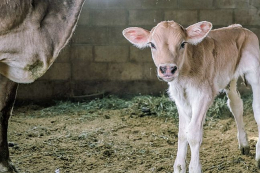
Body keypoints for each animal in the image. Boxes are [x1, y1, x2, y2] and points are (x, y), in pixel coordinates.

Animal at [123, 21, 260, 172]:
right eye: (152, 44)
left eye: (183, 43)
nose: (168, 69)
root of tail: (238, 27)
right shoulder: (179, 98)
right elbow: (182, 133)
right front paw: (179, 167)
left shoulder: (203, 95)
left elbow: (193, 133)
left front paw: (194, 168)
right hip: (231, 77)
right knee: (236, 105)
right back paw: (244, 144)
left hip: (255, 72)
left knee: (257, 109)